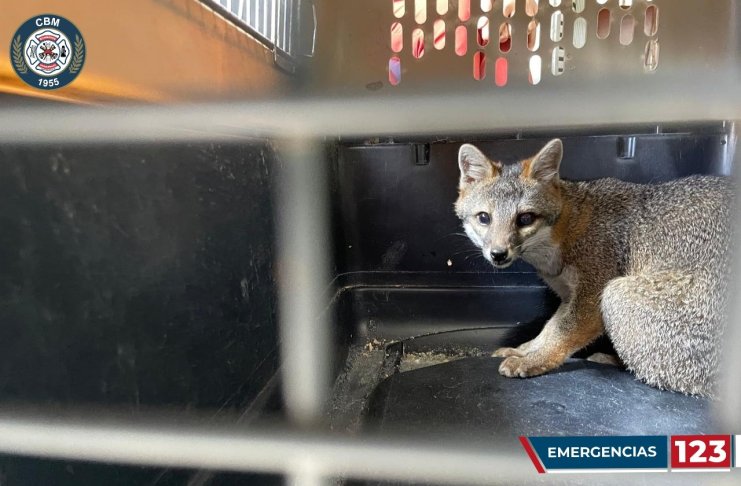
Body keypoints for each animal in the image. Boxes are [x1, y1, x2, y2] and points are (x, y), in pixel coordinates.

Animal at [454, 139, 732, 396]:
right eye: (484, 218)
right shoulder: (569, 296)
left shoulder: (591, 296)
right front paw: (524, 350)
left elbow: (562, 335)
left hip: (615, 295)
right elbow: (549, 330)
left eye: (525, 219)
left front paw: (534, 361)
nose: (498, 254)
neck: (566, 230)